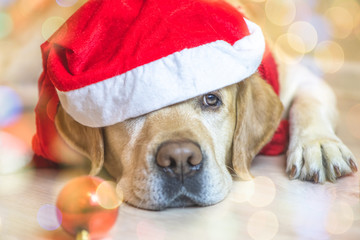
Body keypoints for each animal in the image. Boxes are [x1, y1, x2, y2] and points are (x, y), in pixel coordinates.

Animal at [33, 0, 358, 210]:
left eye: (211, 99)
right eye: (132, 110)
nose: (179, 160)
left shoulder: (304, 79)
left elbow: (308, 103)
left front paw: (318, 145)